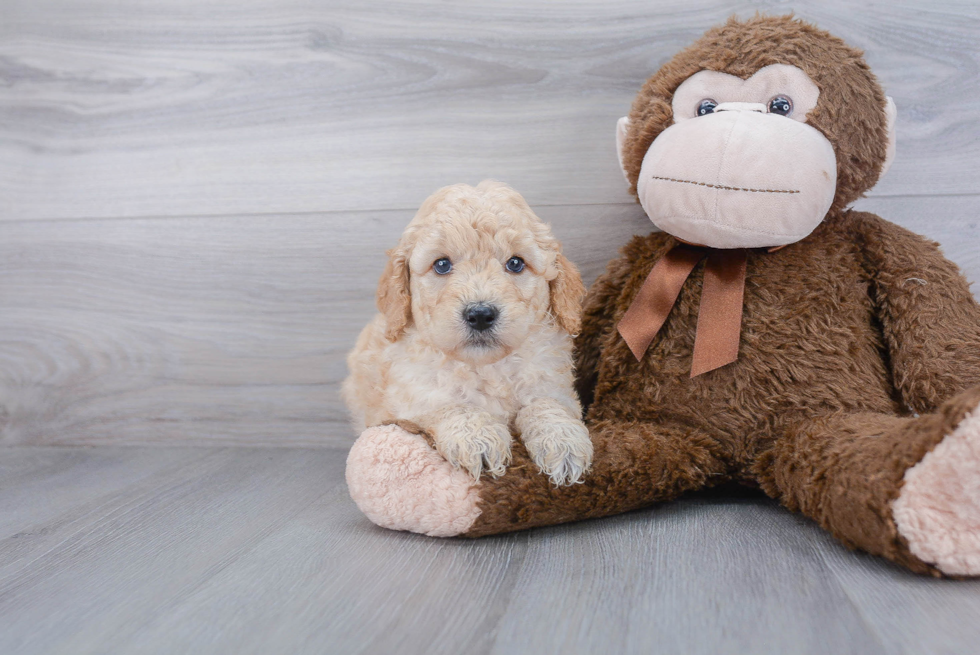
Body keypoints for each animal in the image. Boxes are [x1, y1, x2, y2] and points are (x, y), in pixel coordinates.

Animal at [340, 179, 592, 486]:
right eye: (442, 264)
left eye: (516, 263)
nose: (480, 315)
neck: (485, 366)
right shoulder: (413, 396)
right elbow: (452, 405)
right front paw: (478, 439)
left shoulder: (552, 384)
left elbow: (547, 405)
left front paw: (563, 442)